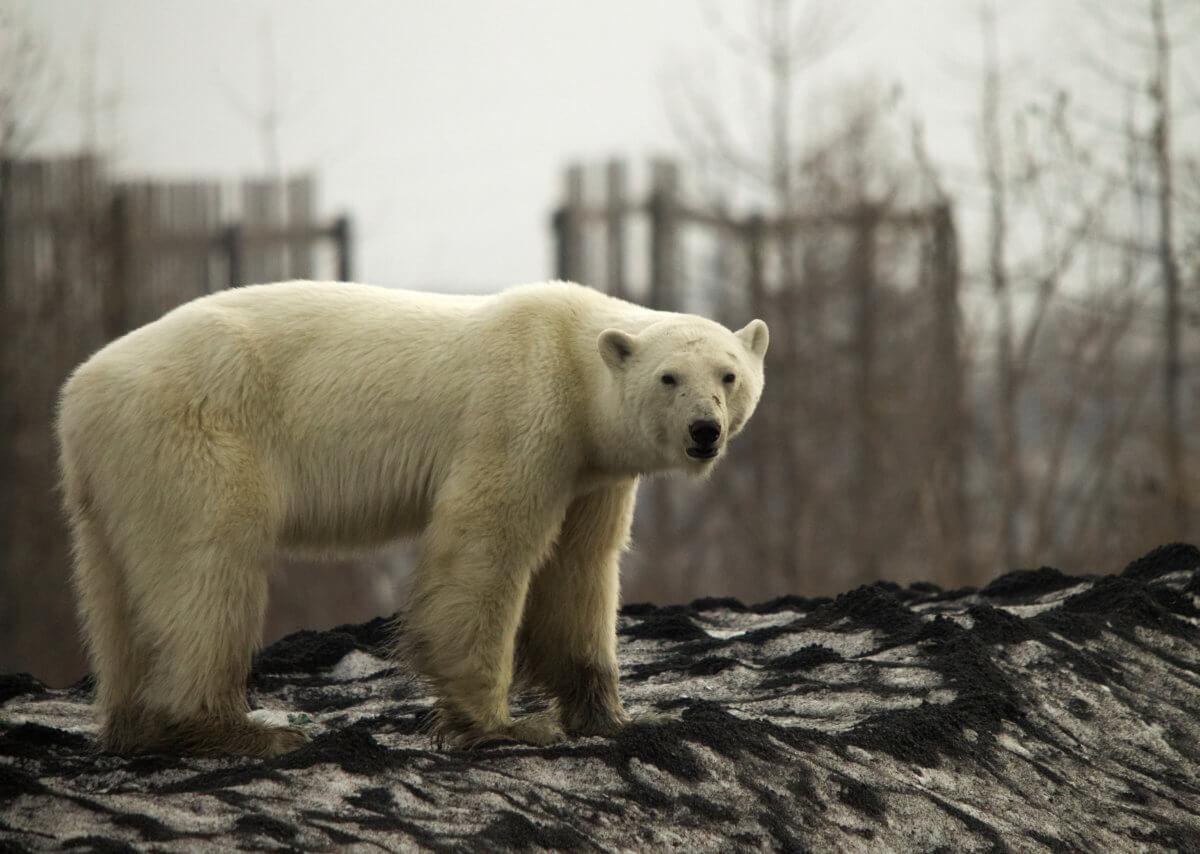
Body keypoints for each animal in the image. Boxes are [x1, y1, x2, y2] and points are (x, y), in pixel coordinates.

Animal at [58, 278, 768, 753]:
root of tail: (79, 391)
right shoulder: (521, 413)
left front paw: (617, 716)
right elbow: (485, 545)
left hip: (114, 474)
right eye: (669, 378)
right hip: (197, 431)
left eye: (728, 375)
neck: (570, 352)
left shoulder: (591, 471)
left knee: (114, 590)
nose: (704, 432)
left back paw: (137, 727)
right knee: (206, 568)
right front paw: (504, 724)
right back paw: (240, 730)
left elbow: (581, 570)